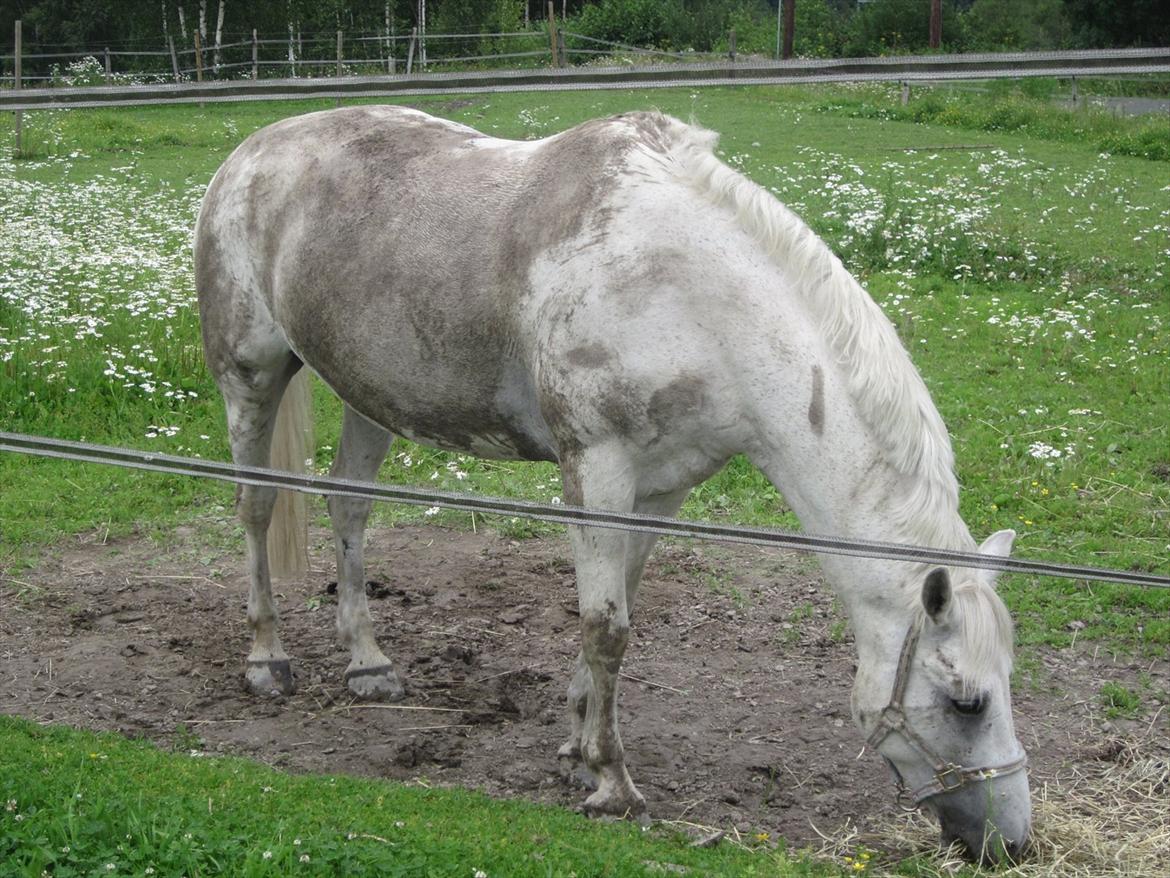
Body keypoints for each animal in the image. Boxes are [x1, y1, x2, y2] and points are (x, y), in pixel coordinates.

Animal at [198, 104, 1034, 866]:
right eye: (967, 701)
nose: (1011, 842)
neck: (690, 298)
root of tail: (251, 149)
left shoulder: (662, 489)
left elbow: (617, 609)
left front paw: (576, 746)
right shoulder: (596, 468)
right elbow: (607, 627)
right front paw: (612, 783)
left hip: (369, 396)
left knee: (349, 507)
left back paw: (368, 663)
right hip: (251, 376)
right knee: (255, 506)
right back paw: (267, 659)